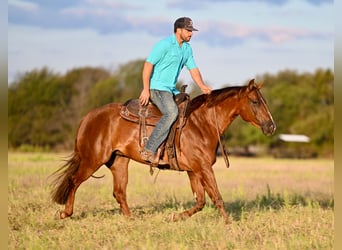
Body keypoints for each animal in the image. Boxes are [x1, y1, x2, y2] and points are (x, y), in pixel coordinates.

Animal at [50, 78, 276, 225]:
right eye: (255, 101)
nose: (271, 126)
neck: (201, 123)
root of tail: (88, 117)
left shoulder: (193, 170)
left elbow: (201, 201)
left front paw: (175, 217)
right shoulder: (203, 168)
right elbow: (216, 197)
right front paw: (229, 224)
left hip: (119, 162)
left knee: (119, 192)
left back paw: (132, 220)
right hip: (92, 160)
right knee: (74, 181)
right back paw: (65, 214)